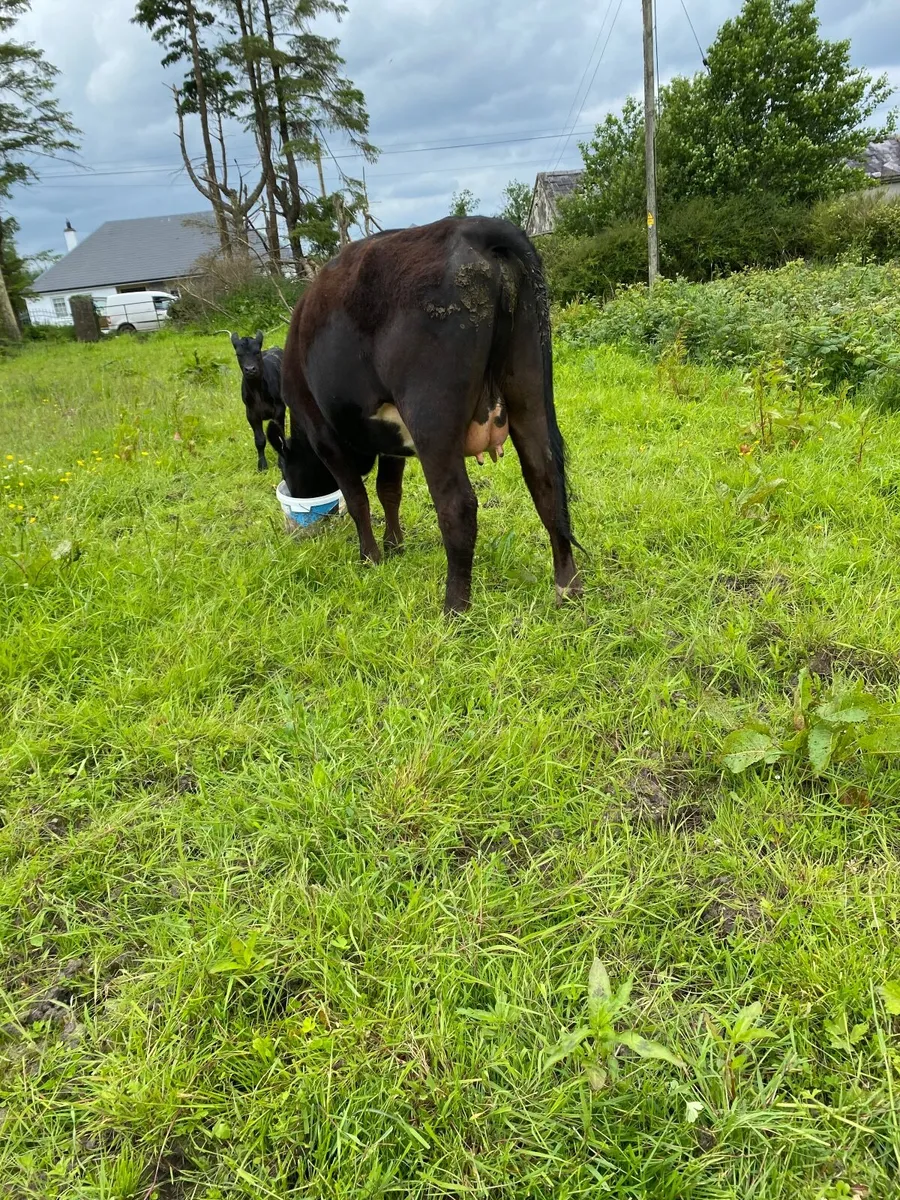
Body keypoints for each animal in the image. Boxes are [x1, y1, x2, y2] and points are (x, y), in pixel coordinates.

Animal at [230, 331, 286, 470]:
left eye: (257, 352)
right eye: (238, 354)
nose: (250, 369)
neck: (257, 390)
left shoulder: (279, 409)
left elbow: (279, 435)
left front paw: (282, 463)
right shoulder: (251, 413)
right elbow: (260, 440)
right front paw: (262, 466)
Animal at [267, 216, 582, 614]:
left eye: (284, 466)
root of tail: (473, 227)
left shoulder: (324, 434)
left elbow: (357, 498)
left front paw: (370, 557)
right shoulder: (390, 438)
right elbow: (389, 490)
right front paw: (394, 545)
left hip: (431, 416)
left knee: (458, 506)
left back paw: (454, 608)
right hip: (529, 388)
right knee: (546, 480)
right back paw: (567, 588)